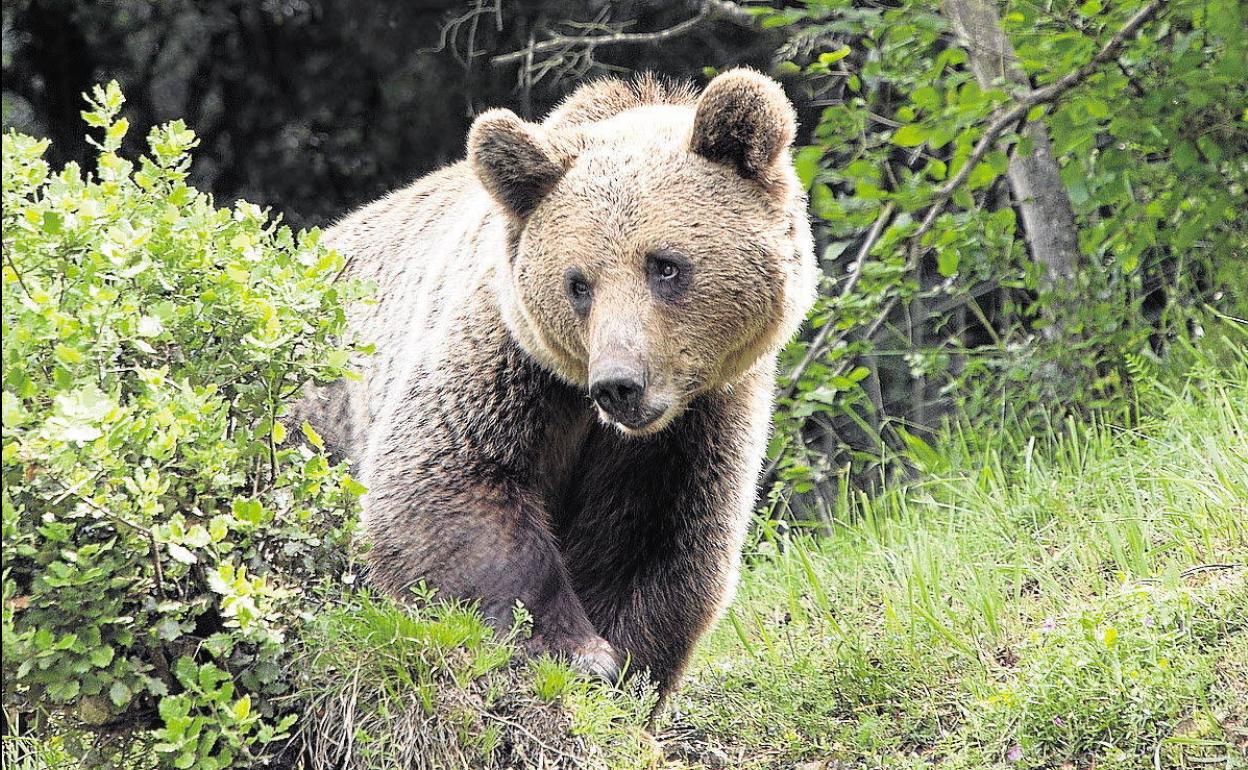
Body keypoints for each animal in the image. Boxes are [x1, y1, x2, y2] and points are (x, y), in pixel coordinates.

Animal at [295, 68, 813, 698]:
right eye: (578, 283)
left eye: (665, 265)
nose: (619, 385)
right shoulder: (506, 360)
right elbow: (446, 481)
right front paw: (575, 651)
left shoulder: (697, 419)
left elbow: (657, 536)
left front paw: (626, 666)